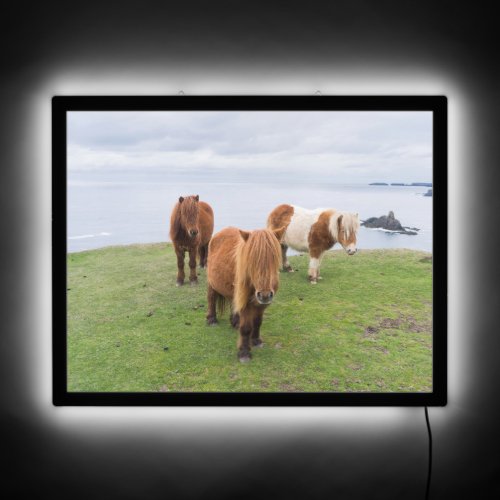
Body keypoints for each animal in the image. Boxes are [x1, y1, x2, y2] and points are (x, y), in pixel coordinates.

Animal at [206, 227, 286, 364]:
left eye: (274, 258)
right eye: (252, 261)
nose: (265, 295)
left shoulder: (261, 305)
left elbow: (258, 322)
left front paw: (256, 341)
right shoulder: (246, 304)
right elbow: (246, 328)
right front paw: (244, 352)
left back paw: (235, 322)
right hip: (212, 284)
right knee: (211, 299)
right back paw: (212, 320)